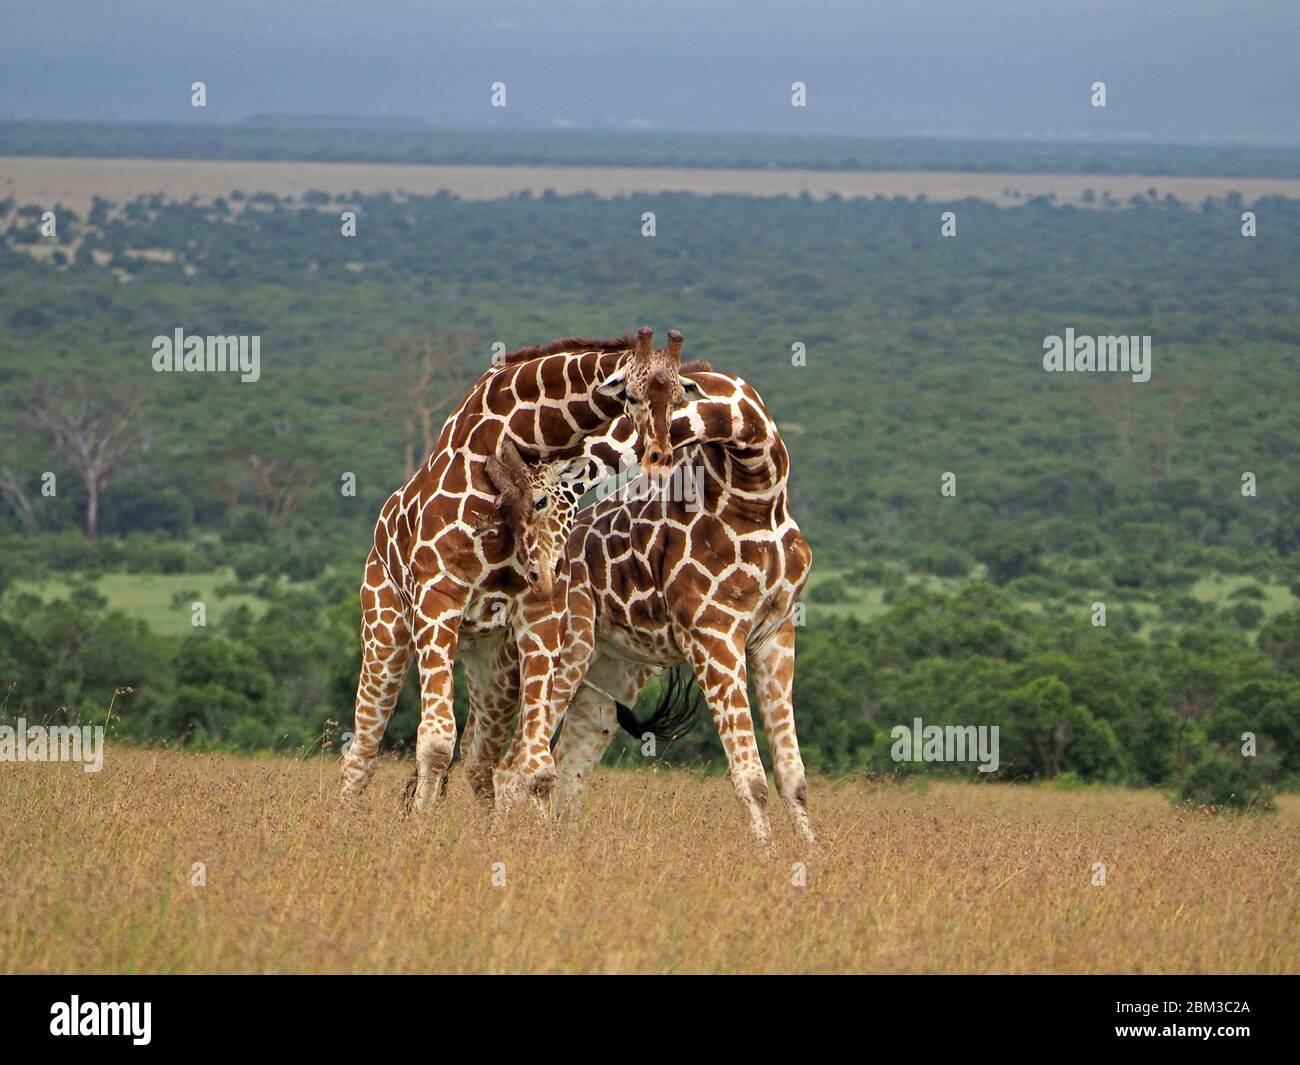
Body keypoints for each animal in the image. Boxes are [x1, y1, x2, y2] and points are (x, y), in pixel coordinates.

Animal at [335, 325, 702, 806]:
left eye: (678, 396)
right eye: (633, 395)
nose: (659, 456)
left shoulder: (540, 614)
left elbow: (538, 767)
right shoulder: (438, 597)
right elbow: (435, 743)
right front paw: (421, 822)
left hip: (492, 663)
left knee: (480, 758)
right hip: (385, 626)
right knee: (362, 747)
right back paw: (348, 814)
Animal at [483, 361, 816, 847]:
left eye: (540, 500)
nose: (539, 578)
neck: (757, 489)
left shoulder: (776, 631)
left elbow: (793, 776)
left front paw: (814, 856)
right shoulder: (712, 633)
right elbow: (750, 778)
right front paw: (770, 858)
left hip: (609, 674)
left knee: (569, 766)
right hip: (565, 653)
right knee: (516, 767)